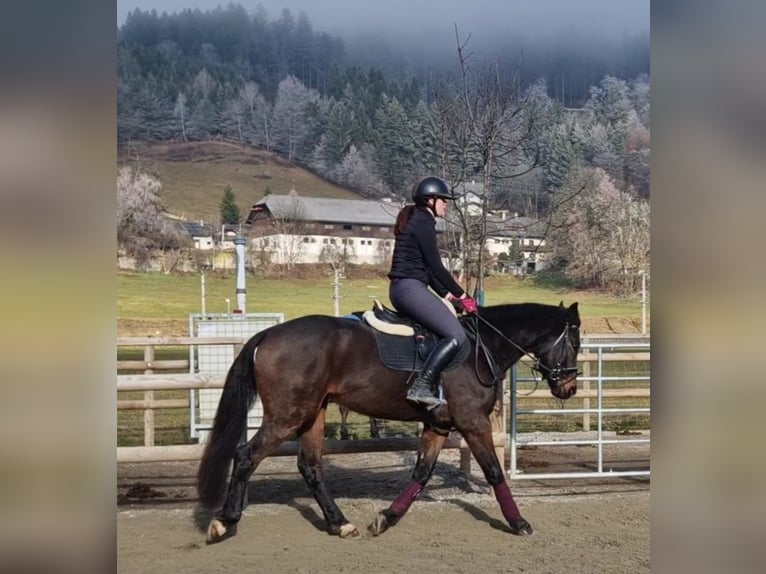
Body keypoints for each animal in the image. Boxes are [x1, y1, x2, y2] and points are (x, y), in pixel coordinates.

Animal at [197, 301, 581, 542]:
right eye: (575, 343)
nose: (570, 388)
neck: (481, 347)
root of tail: (269, 334)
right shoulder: (472, 422)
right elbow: (494, 472)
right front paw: (519, 523)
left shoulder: (439, 424)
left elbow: (421, 474)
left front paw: (386, 518)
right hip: (288, 416)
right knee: (246, 455)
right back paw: (224, 522)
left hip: (312, 414)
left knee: (310, 466)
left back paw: (340, 524)